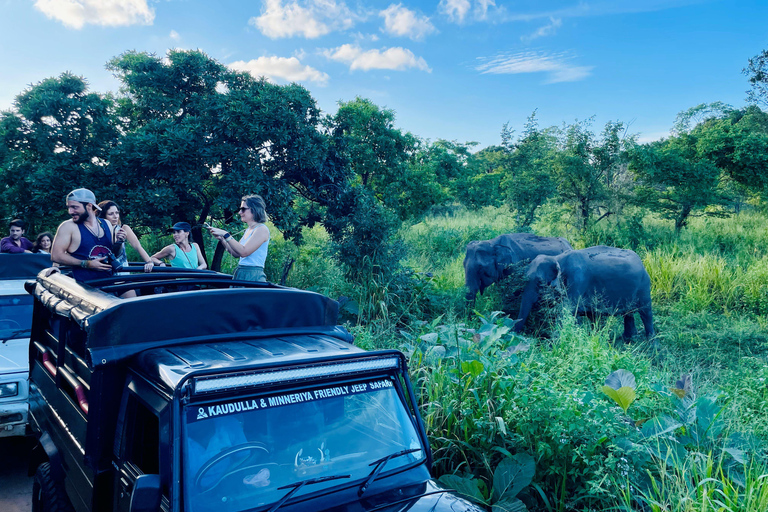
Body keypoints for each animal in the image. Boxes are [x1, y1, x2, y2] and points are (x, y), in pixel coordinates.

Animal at [513, 245, 655, 341]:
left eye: (539, 282)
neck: (557, 258)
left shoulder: (578, 281)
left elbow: (567, 312)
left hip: (644, 286)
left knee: (646, 313)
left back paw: (652, 344)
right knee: (628, 314)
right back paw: (628, 340)